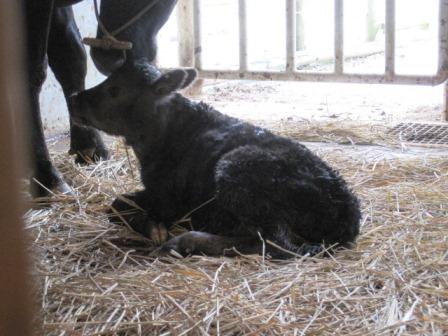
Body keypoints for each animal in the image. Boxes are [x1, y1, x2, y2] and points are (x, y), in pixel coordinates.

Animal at [71, 60, 364, 258]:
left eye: (114, 90)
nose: (74, 98)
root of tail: (347, 212)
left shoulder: (168, 200)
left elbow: (116, 205)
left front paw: (155, 229)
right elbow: (117, 203)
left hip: (236, 167)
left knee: (274, 243)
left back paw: (184, 242)